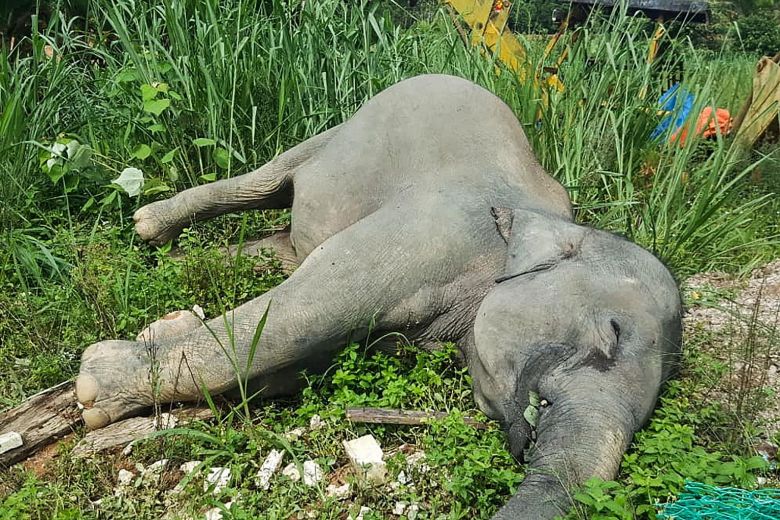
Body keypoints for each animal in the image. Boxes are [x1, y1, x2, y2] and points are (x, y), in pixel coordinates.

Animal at [74, 75, 684, 516]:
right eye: (611, 333)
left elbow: (304, 359)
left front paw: (153, 339)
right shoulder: (434, 235)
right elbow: (301, 314)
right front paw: (91, 387)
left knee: (282, 243)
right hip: (350, 125)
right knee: (271, 180)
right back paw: (148, 226)